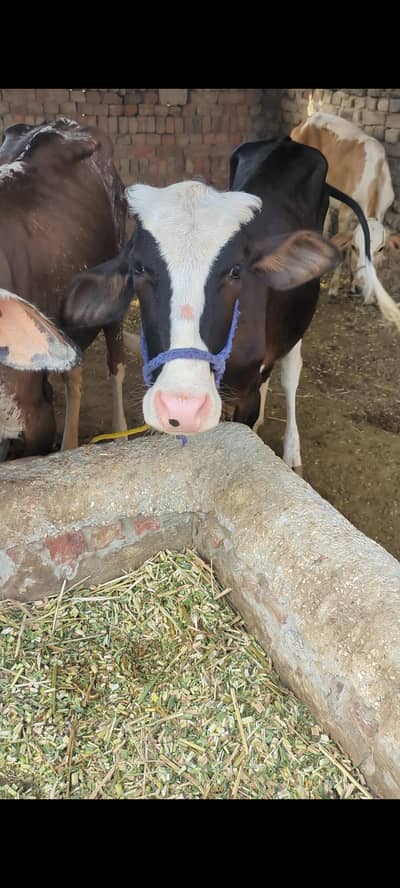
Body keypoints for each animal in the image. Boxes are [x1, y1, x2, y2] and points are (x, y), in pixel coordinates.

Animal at [291, 112, 400, 303]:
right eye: (356, 248)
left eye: (380, 249)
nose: (361, 286)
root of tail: (306, 121)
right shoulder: (345, 213)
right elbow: (343, 248)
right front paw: (334, 288)